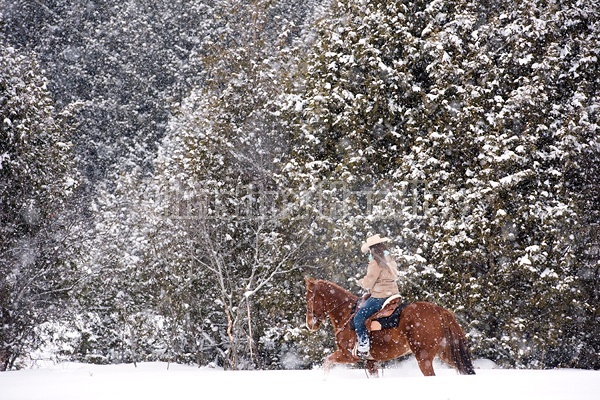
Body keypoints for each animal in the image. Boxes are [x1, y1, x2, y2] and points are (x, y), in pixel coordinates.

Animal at [302, 276, 476, 376]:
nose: (309, 324)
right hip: (446, 352)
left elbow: (327, 362)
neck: (347, 313)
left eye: (309, 298)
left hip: (424, 357)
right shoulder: (371, 362)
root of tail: (439, 310)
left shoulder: (348, 354)